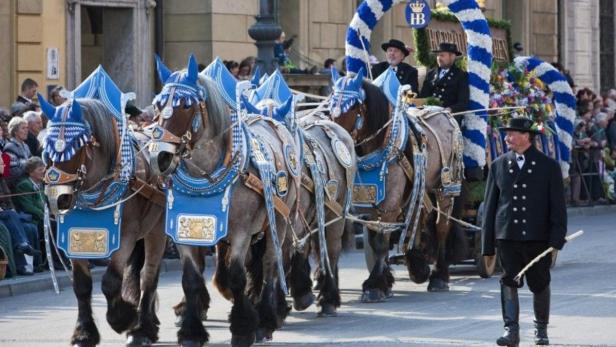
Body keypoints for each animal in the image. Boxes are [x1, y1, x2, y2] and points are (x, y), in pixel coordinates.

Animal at [39, 93, 167, 347]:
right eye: (46, 147)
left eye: (76, 146)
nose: (57, 199)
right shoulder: (74, 239)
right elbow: (81, 285)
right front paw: (84, 333)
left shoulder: (125, 236)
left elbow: (110, 282)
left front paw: (124, 318)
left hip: (156, 230)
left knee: (149, 275)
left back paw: (143, 329)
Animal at [147, 55, 296, 346]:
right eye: (158, 104)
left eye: (185, 105)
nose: (159, 157)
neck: (205, 177)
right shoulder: (185, 231)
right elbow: (191, 280)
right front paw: (191, 332)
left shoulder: (240, 232)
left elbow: (238, 277)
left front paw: (243, 328)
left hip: (279, 223)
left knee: (271, 265)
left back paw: (266, 318)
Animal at [242, 96, 356, 318]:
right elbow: (254, 262)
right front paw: (254, 297)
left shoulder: (286, 224)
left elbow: (280, 257)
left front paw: (277, 303)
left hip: (334, 214)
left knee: (331, 249)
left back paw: (328, 298)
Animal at [330, 68, 464, 302]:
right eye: (330, 108)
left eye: (352, 108)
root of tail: (445, 112)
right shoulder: (366, 202)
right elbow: (375, 239)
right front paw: (384, 280)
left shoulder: (389, 204)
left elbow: (381, 242)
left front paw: (375, 285)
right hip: (418, 188)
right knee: (417, 220)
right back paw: (417, 265)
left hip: (446, 188)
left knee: (441, 227)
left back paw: (439, 276)